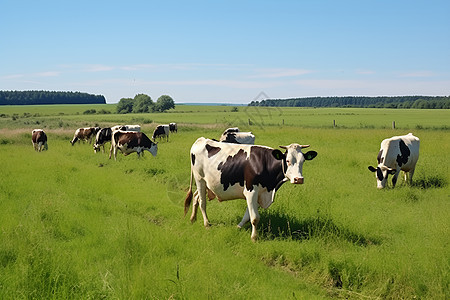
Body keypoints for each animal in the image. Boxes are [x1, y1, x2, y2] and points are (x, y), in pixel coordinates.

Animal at [183, 137, 316, 240]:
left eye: (303, 161)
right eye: (287, 160)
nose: (299, 179)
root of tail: (201, 140)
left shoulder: (258, 193)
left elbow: (248, 216)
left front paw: (238, 227)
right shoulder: (251, 190)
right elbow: (255, 217)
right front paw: (254, 237)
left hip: (207, 183)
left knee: (195, 197)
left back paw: (193, 219)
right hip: (199, 179)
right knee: (202, 202)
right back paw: (206, 224)